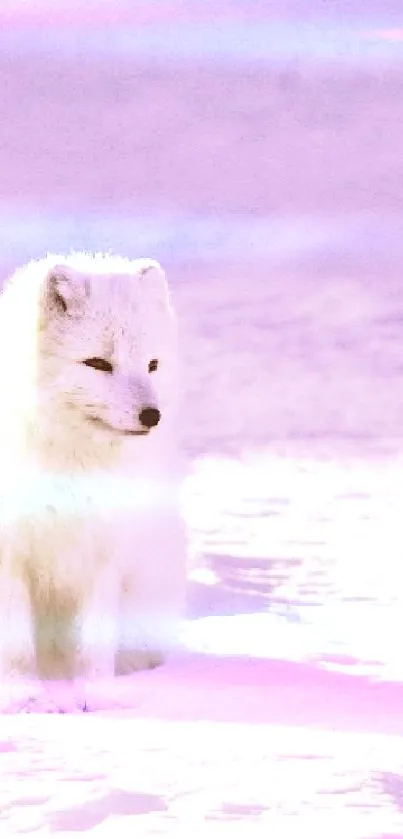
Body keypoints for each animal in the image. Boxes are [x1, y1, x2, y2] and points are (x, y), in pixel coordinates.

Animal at [0, 251, 188, 704]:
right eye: (99, 363)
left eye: (152, 364)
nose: (152, 416)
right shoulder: (9, 552)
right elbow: (15, 642)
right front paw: (22, 695)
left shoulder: (103, 548)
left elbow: (95, 639)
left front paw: (97, 696)